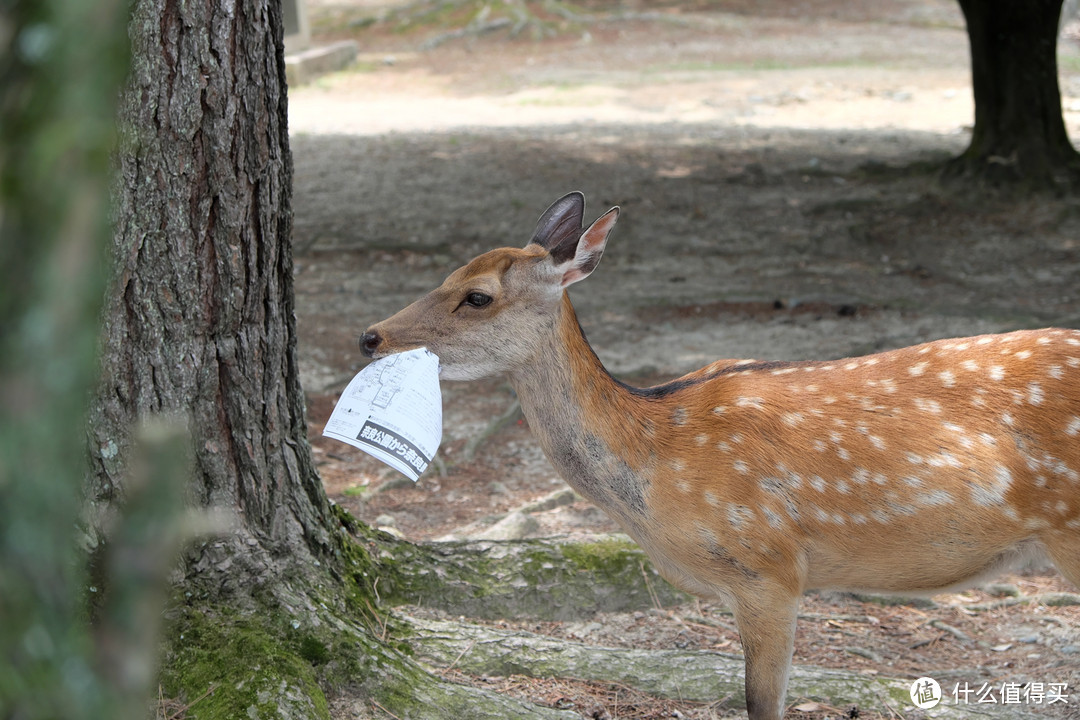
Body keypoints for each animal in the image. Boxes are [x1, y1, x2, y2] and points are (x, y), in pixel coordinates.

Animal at [360, 191, 1080, 720]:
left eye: (477, 295)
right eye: (448, 274)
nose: (371, 336)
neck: (653, 460)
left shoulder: (768, 567)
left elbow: (762, 704)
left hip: (1069, 527)